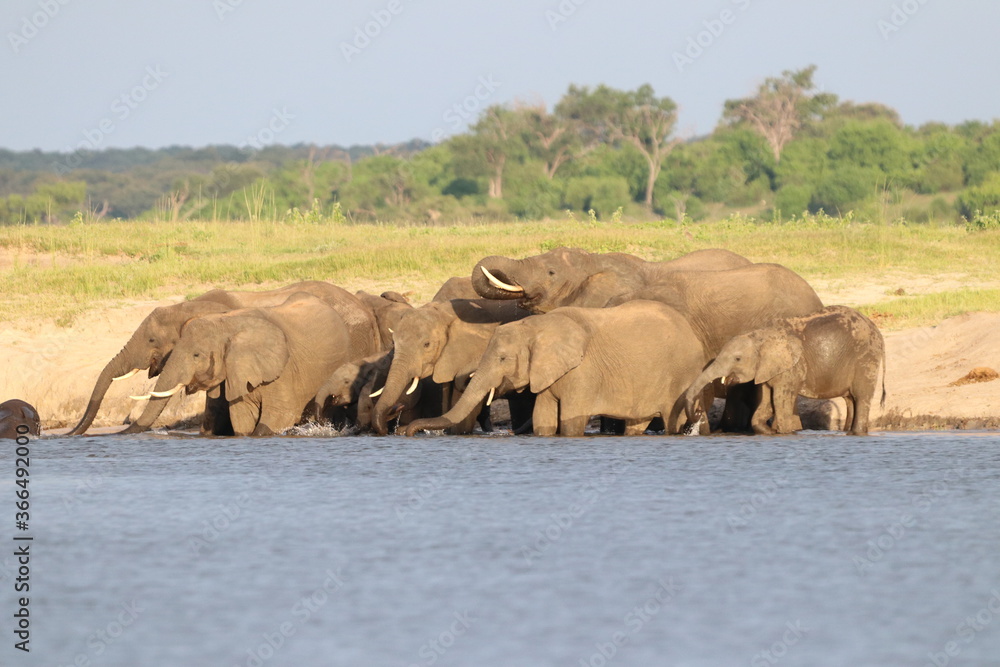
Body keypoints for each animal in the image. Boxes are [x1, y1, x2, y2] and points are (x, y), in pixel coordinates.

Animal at [403, 300, 708, 437]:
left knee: (676, 418)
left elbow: (571, 421)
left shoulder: (584, 370)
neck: (535, 327)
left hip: (682, 373)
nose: (406, 431)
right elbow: (543, 418)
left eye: (502, 359)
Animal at [683, 306, 886, 435]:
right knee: (851, 400)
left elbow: (780, 404)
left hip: (866, 357)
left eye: (737, 359)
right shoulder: (767, 369)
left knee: (861, 397)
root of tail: (877, 331)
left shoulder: (790, 369)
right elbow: (765, 404)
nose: (698, 413)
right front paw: (769, 431)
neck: (760, 335)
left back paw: (857, 432)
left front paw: (783, 431)